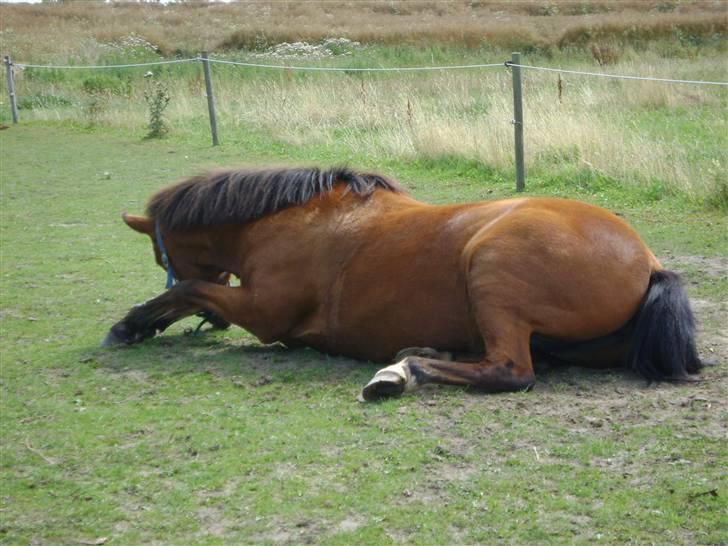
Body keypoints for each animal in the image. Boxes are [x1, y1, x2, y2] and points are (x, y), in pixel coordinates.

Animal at [99, 164, 704, 398]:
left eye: (158, 252)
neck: (288, 219)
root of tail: (648, 261)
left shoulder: (265, 313)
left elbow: (186, 290)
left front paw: (131, 325)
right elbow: (188, 294)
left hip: (493, 274)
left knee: (511, 370)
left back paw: (405, 369)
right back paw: (423, 352)